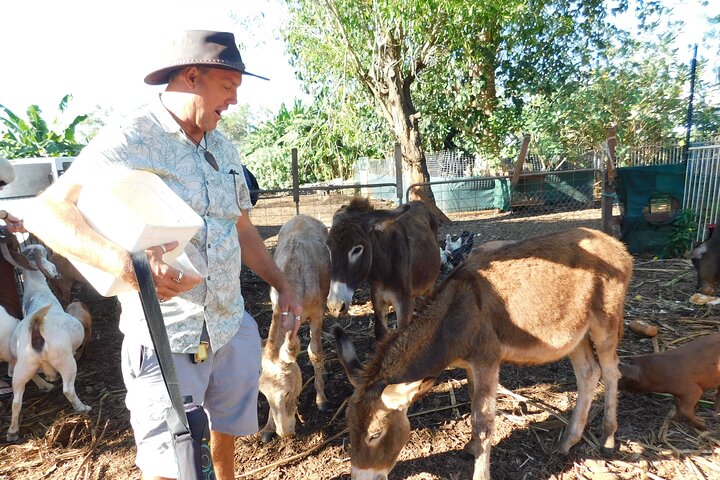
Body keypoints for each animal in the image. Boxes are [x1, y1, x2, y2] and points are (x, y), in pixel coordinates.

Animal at [7, 244, 90, 442]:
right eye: (44, 251)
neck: (37, 292)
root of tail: (35, 327)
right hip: (66, 362)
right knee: (67, 389)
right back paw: (82, 408)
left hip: (22, 368)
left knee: (16, 401)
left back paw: (12, 431)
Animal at [258, 214, 332, 442]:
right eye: (264, 396)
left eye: (289, 392)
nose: (286, 433)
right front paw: (267, 429)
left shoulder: (317, 312)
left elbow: (315, 352)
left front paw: (321, 400)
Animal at [332, 228, 632, 480]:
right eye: (348, 428)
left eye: (375, 434)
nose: (360, 478)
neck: (452, 316)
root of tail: (617, 246)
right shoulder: (470, 365)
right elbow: (471, 401)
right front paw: (471, 446)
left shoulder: (487, 360)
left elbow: (483, 421)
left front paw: (480, 470)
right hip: (575, 333)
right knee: (588, 373)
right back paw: (568, 441)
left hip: (605, 321)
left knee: (611, 371)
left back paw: (607, 439)